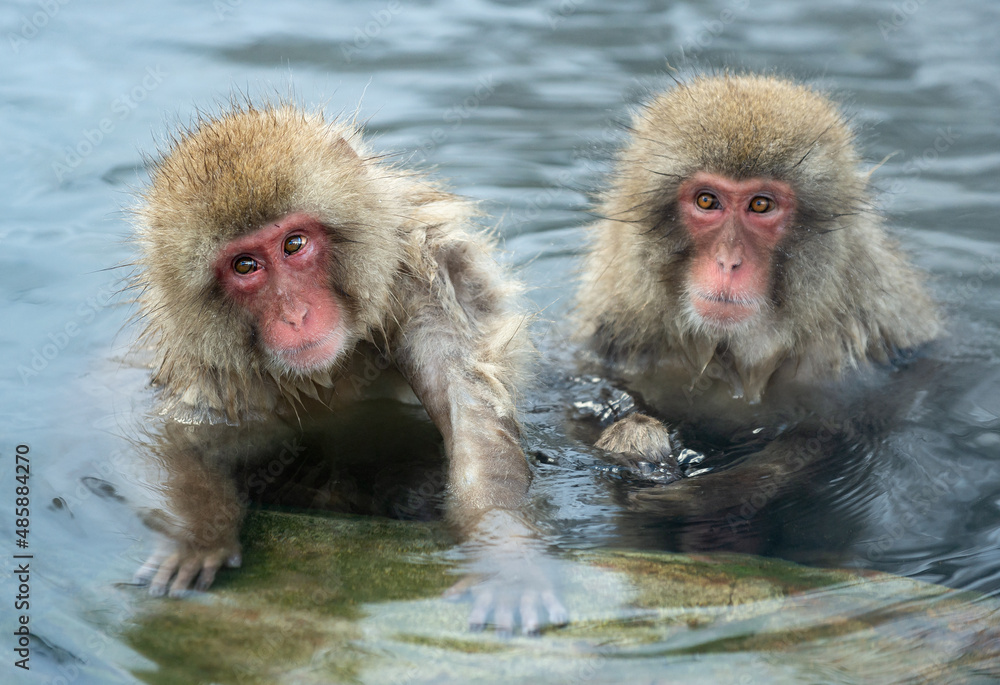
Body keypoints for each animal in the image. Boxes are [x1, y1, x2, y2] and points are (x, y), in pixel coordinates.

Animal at [125, 101, 565, 634]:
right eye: (245, 266)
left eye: (294, 244)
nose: (295, 315)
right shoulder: (210, 361)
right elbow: (196, 437)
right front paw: (197, 532)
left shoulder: (420, 282)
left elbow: (471, 415)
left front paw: (503, 551)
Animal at [575, 74, 943, 554]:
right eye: (707, 201)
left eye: (761, 205)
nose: (728, 262)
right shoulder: (619, 330)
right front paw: (634, 440)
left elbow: (833, 435)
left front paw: (709, 494)